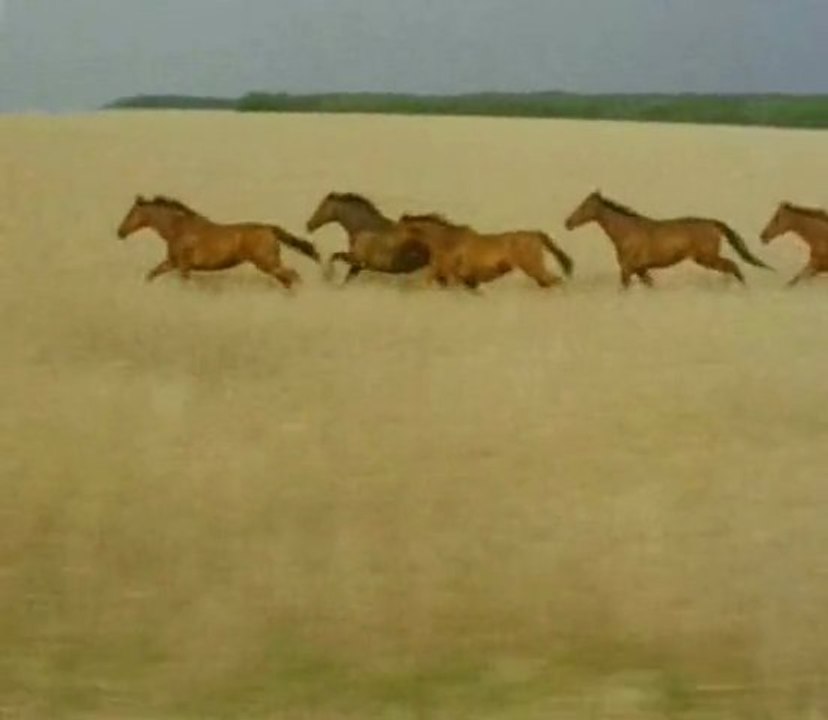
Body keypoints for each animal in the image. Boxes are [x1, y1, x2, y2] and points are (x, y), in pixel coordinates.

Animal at [117, 195, 320, 288]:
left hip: (267, 263)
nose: (120, 232)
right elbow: (151, 274)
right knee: (288, 279)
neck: (177, 229)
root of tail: (269, 229)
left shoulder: (183, 265)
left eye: (130, 213)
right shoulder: (172, 263)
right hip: (269, 264)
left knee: (292, 276)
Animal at [397, 213, 574, 290]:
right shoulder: (459, 278)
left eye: (396, 230)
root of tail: (535, 234)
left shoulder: (450, 275)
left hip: (533, 267)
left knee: (554, 281)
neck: (444, 239)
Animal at [564, 191, 771, 288]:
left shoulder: (627, 270)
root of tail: (713, 223)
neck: (626, 232)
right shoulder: (640, 270)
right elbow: (650, 286)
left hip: (706, 258)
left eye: (584, 206)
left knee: (732, 266)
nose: (568, 223)